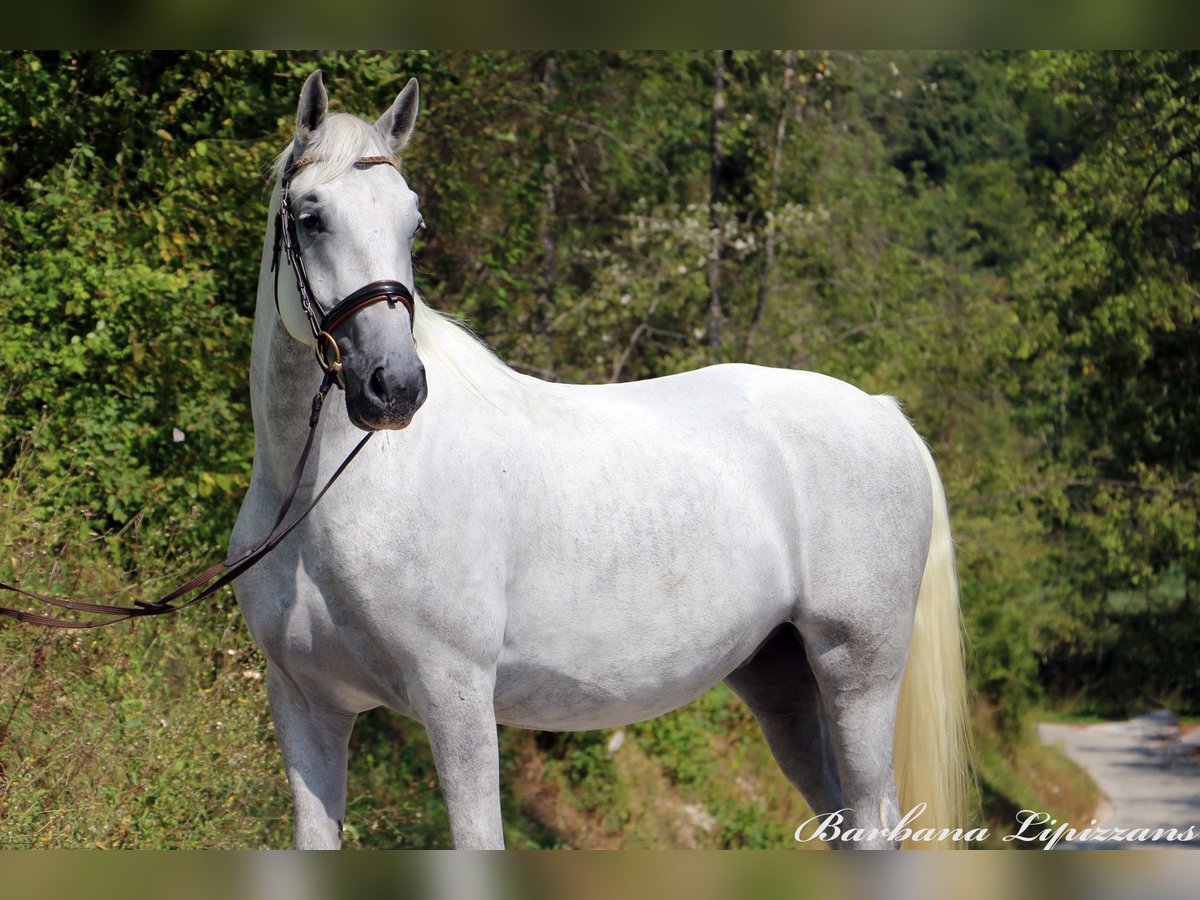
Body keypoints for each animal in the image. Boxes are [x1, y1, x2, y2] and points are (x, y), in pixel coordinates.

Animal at [229, 72, 969, 854]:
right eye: (312, 217)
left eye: (414, 223)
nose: (394, 387)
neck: (329, 499)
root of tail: (883, 412)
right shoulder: (306, 705)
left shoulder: (455, 695)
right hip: (781, 681)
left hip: (858, 671)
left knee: (874, 818)